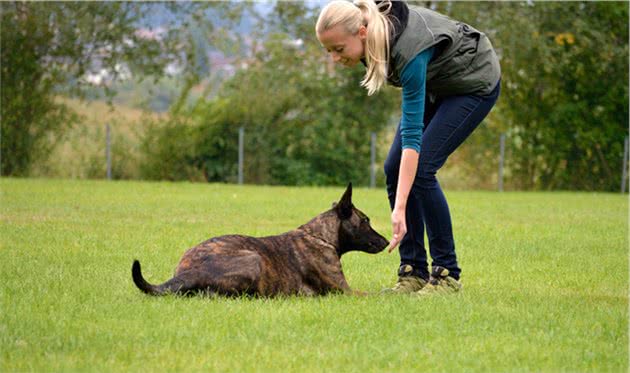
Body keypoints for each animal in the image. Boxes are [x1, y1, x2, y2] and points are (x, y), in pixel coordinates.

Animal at [132, 183, 390, 296]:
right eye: (365, 220)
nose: (387, 242)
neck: (321, 236)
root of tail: (191, 271)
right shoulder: (344, 291)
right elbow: (378, 295)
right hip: (253, 259)